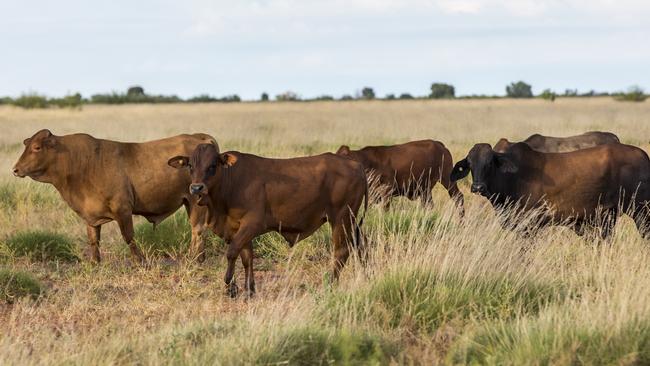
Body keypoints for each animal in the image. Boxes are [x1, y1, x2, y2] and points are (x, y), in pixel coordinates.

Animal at [12, 129, 214, 264]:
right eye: (26, 145)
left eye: (37, 147)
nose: (15, 169)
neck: (81, 163)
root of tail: (199, 137)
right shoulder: (91, 216)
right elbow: (94, 240)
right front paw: (95, 263)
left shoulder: (122, 209)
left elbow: (128, 237)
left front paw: (140, 261)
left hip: (195, 201)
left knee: (198, 229)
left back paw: (195, 259)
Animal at [167, 143, 368, 298]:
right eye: (190, 166)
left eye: (212, 165)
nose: (196, 188)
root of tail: (355, 165)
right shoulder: (238, 229)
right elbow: (247, 258)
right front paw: (249, 290)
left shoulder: (252, 224)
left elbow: (232, 253)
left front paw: (230, 286)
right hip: (352, 221)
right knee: (361, 245)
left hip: (341, 218)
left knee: (341, 251)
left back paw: (330, 284)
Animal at [334, 140, 466, 212]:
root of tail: (440, 145)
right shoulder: (372, 196)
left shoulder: (387, 191)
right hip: (425, 189)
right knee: (428, 205)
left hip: (447, 179)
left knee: (458, 197)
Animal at [448, 142, 648, 239]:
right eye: (470, 163)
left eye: (490, 162)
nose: (478, 187)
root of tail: (644, 156)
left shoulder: (529, 227)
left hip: (641, 212)